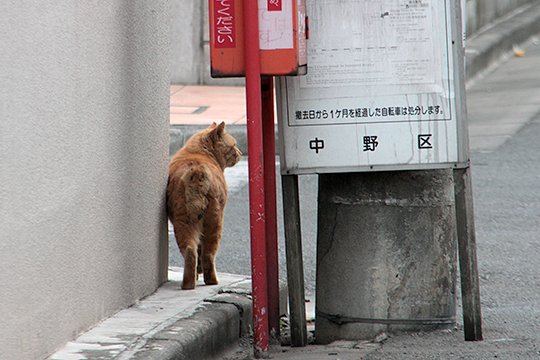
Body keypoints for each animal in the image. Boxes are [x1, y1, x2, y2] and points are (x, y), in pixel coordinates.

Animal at [166, 121, 239, 290]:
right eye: (233, 146)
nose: (240, 153)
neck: (199, 153)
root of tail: (197, 171)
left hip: (183, 222)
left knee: (190, 251)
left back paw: (188, 283)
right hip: (215, 222)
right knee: (208, 254)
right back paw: (211, 281)